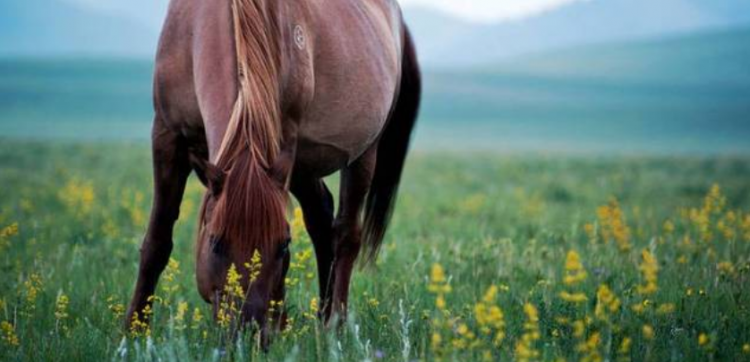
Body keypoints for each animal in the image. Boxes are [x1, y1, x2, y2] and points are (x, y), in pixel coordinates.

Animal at [125, 0, 424, 340]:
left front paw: (279, 322)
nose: (248, 333)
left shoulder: (284, 138)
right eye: (215, 242)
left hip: (362, 154)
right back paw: (322, 316)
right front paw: (133, 329)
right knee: (322, 221)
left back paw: (334, 325)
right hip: (304, 169)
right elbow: (157, 240)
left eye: (283, 245)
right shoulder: (166, 134)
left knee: (347, 234)